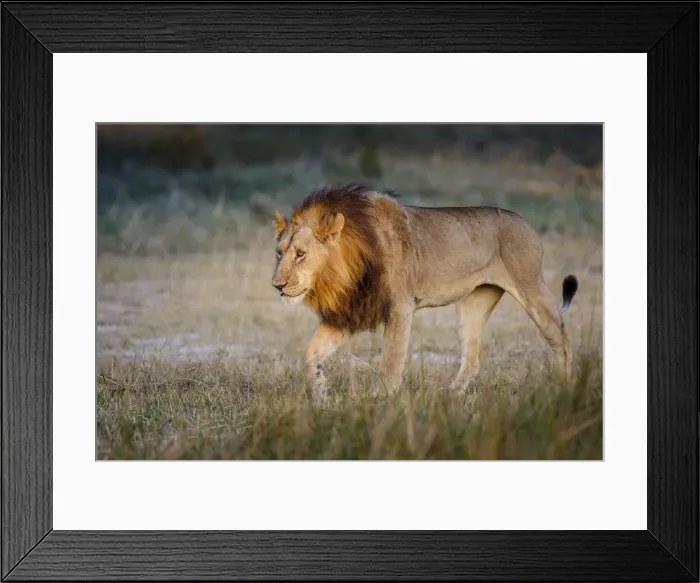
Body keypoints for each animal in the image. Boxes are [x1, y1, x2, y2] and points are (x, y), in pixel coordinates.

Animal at [271, 183, 578, 397]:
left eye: (300, 254)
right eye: (279, 252)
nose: (277, 286)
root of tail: (525, 223)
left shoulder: (400, 307)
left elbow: (391, 359)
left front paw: (379, 399)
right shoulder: (351, 311)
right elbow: (310, 352)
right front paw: (320, 390)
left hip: (530, 286)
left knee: (562, 337)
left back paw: (564, 386)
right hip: (473, 304)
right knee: (473, 357)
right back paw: (450, 397)